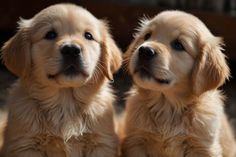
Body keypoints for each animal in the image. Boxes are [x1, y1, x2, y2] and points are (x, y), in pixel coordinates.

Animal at [0, 3, 121, 156]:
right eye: (50, 34)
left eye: (88, 35)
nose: (71, 50)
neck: (65, 102)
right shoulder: (26, 144)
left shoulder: (101, 143)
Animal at [121, 10, 236, 157]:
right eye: (147, 36)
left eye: (178, 45)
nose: (145, 51)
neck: (167, 106)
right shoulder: (136, 141)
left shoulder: (202, 147)